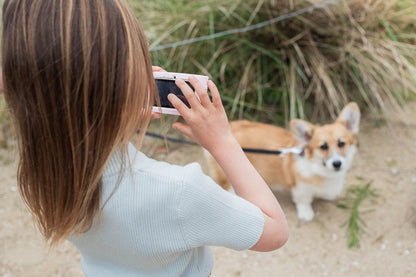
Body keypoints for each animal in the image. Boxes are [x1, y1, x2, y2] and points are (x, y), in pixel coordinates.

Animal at [206, 101, 360, 220]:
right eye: (323, 146)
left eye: (341, 143)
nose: (337, 163)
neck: (320, 169)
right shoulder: (301, 187)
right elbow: (303, 201)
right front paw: (306, 213)